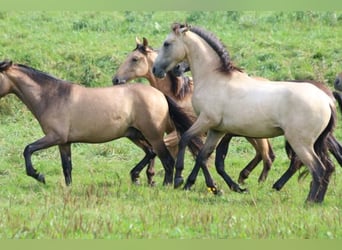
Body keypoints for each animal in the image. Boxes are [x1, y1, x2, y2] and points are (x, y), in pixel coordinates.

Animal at [0, 60, 200, 186]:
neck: (52, 96)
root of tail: (160, 95)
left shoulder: (54, 137)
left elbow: (28, 149)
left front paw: (38, 175)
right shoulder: (64, 142)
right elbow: (67, 167)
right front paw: (68, 188)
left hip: (153, 135)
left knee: (166, 160)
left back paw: (164, 185)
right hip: (134, 134)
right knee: (151, 153)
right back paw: (135, 176)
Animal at [154, 23, 336, 203]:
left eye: (167, 44)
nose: (156, 70)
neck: (213, 78)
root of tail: (326, 100)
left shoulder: (206, 121)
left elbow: (185, 139)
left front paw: (179, 179)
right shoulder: (216, 130)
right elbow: (203, 155)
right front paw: (199, 185)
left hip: (300, 142)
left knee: (317, 169)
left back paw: (308, 201)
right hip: (315, 142)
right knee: (327, 167)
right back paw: (318, 200)